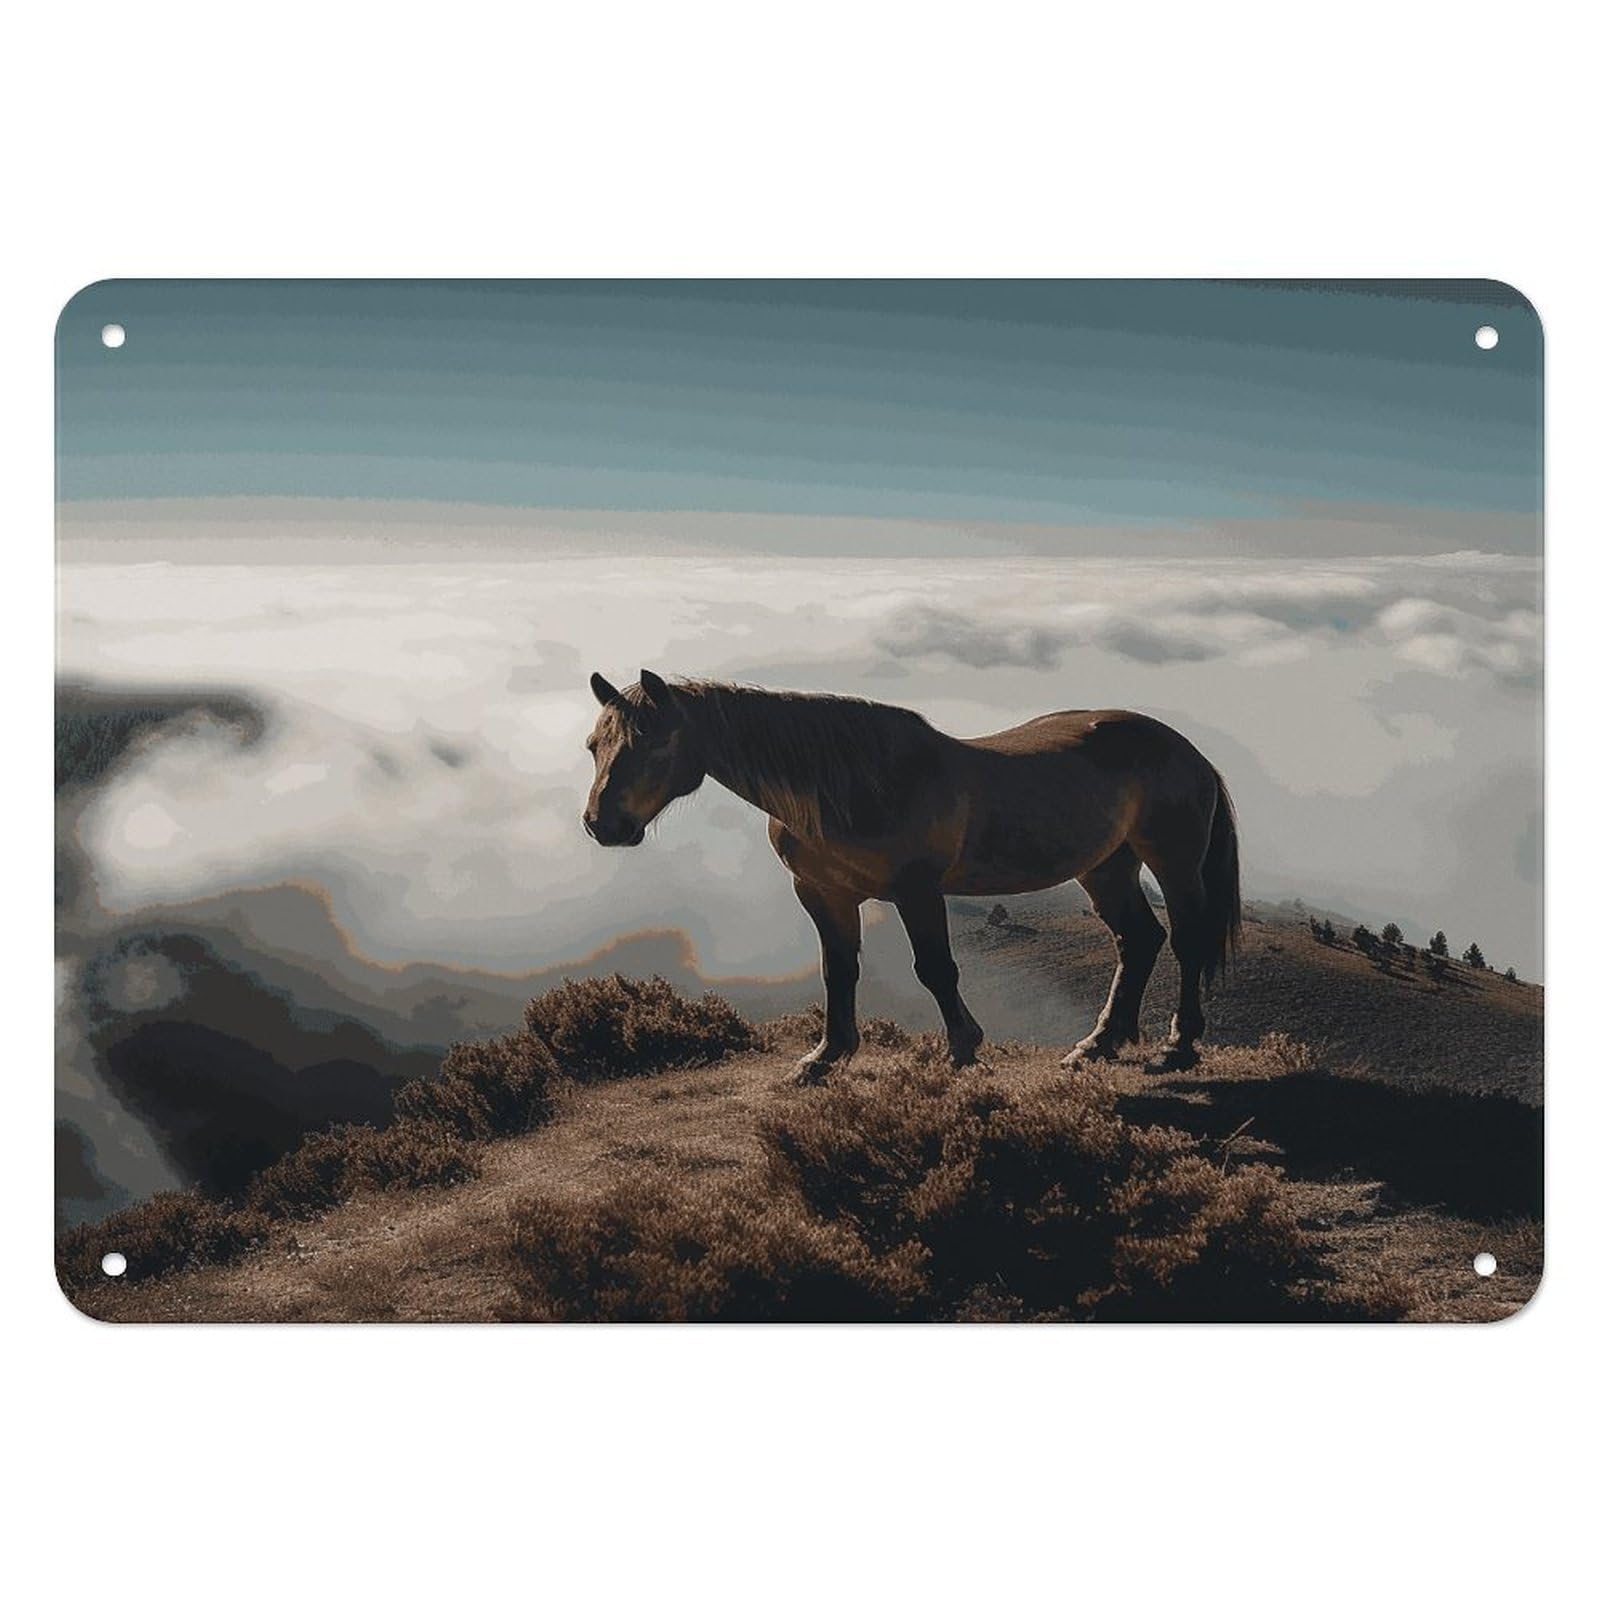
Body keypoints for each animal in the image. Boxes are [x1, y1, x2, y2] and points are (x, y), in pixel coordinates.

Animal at [582, 670, 1240, 1084]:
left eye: (654, 743)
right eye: (594, 744)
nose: (601, 824)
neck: (850, 784)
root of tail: (1191, 752)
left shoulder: (917, 891)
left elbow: (936, 968)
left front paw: (965, 1051)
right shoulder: (823, 895)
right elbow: (838, 971)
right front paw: (825, 1058)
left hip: (1172, 861)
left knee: (1185, 940)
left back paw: (1177, 1048)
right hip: (1106, 866)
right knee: (1138, 940)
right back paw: (1098, 1045)